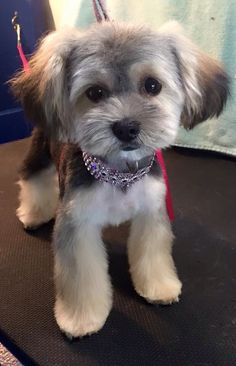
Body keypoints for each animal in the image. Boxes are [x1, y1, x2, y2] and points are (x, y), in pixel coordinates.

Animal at [10, 20, 229, 338]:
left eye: (152, 85)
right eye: (95, 92)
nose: (126, 127)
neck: (120, 174)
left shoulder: (152, 211)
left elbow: (153, 253)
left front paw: (159, 288)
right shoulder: (76, 223)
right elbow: (79, 274)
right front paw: (80, 320)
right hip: (39, 149)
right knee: (33, 177)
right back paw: (33, 213)